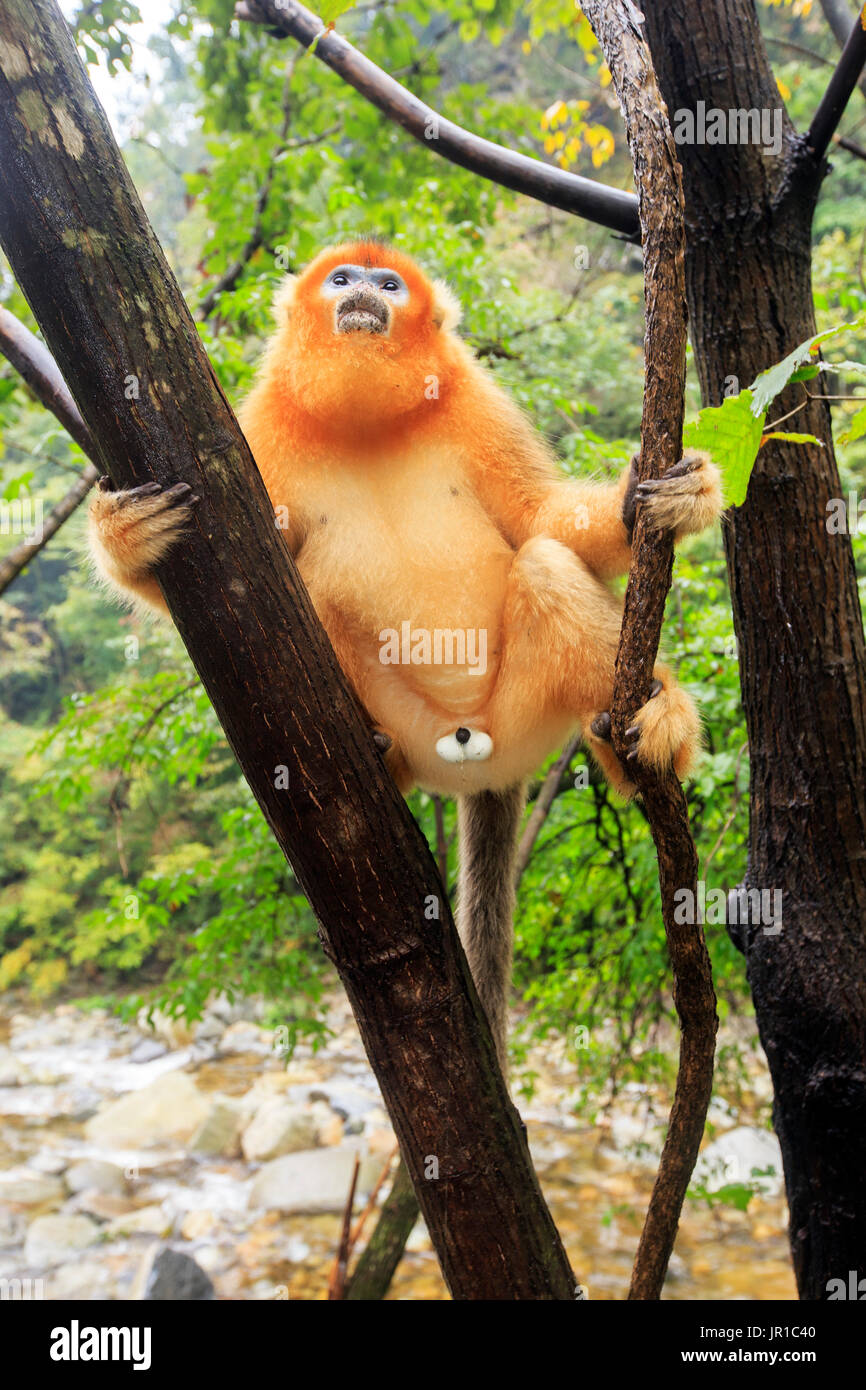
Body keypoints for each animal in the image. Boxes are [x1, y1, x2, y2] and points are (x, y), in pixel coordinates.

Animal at [88, 240, 723, 1068]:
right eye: (341, 278)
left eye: (388, 283)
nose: (361, 291)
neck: (367, 419)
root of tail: (478, 758)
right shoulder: (256, 431)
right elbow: (223, 583)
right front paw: (124, 537)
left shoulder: (475, 397)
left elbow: (537, 519)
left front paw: (656, 499)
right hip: (420, 726)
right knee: (313, 596)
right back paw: (380, 752)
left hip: (526, 716)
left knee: (544, 563)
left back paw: (644, 726)